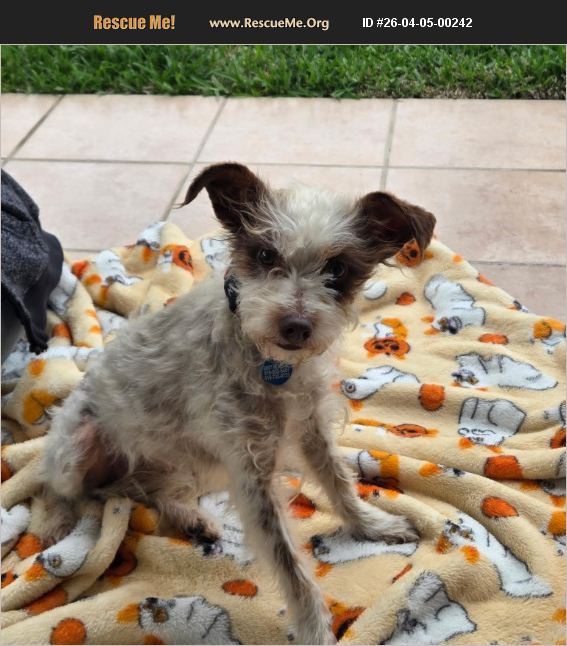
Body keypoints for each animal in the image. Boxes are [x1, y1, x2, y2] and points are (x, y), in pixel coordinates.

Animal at [40, 163, 435, 644]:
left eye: (337, 268)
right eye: (265, 254)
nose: (295, 325)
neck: (272, 364)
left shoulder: (310, 428)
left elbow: (340, 484)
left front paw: (374, 525)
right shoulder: (250, 472)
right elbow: (291, 566)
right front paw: (315, 631)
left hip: (193, 462)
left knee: (147, 492)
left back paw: (191, 518)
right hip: (77, 448)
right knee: (62, 490)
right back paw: (57, 529)